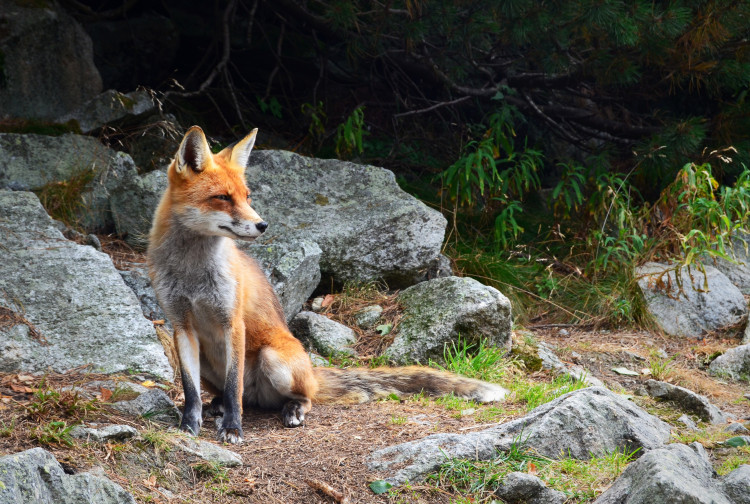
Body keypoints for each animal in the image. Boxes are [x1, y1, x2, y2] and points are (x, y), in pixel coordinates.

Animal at [147, 127, 512, 444]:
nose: (263, 225)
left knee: (291, 396)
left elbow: (234, 384)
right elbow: (191, 391)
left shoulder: (232, 323)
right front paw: (188, 426)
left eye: (247, 196)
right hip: (209, 363)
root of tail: (311, 370)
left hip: (274, 360)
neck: (193, 274)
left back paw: (290, 409)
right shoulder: (181, 325)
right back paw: (219, 406)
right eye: (222, 197)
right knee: (232, 394)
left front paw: (233, 429)